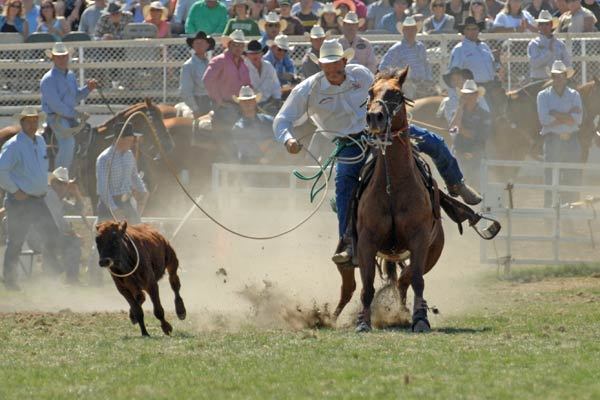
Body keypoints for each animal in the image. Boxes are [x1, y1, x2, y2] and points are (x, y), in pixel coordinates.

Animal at [352, 67, 446, 332]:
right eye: (370, 91)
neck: (392, 187)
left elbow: (416, 279)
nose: (375, 117)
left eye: (396, 93)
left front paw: (420, 319)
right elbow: (367, 284)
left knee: (407, 279)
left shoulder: (420, 239)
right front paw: (363, 321)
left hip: (434, 250)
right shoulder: (366, 241)